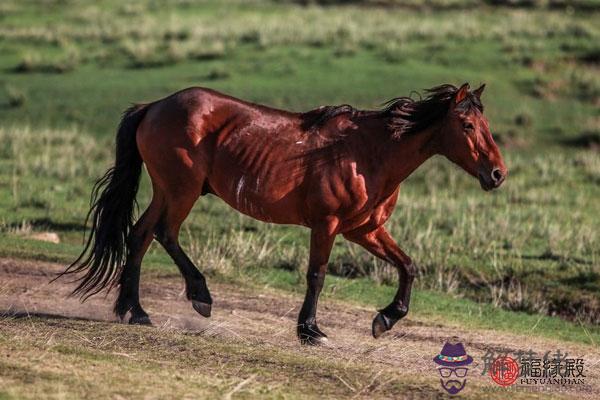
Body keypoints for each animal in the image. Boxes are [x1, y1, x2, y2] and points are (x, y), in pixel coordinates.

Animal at [62, 82, 506, 344]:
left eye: (483, 122)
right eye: (467, 125)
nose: (498, 174)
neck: (368, 153)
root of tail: (153, 105)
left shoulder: (364, 230)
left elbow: (408, 266)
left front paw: (386, 319)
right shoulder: (326, 225)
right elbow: (316, 276)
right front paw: (310, 331)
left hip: (168, 191)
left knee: (140, 235)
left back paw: (136, 311)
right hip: (180, 190)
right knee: (163, 233)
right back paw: (197, 297)